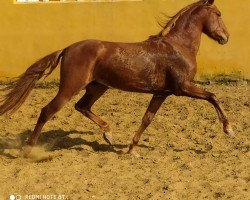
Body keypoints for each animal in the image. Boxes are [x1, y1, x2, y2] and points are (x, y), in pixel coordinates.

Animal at [0, 0, 234, 155]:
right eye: (219, 13)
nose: (226, 37)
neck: (178, 46)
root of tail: (67, 48)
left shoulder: (161, 93)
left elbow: (147, 119)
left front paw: (131, 149)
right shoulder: (182, 87)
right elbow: (213, 96)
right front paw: (229, 129)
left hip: (98, 87)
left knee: (82, 106)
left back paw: (108, 133)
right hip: (71, 86)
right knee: (48, 111)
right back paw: (29, 150)